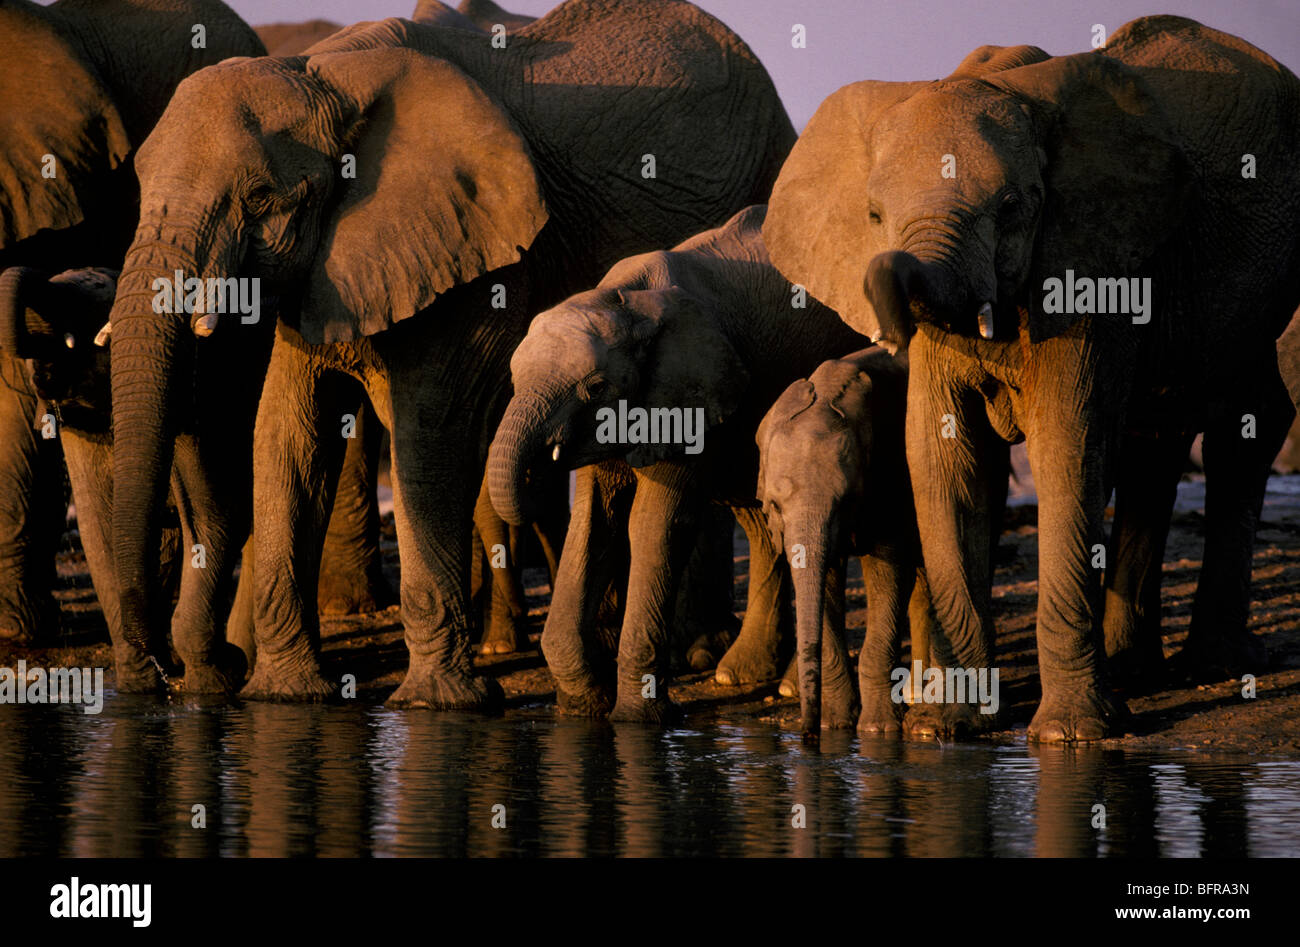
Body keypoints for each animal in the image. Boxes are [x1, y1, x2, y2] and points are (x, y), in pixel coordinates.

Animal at [104, 0, 796, 709]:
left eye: (262, 197)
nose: (164, 675)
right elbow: (289, 432)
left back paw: (704, 655)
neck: (329, 73)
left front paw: (438, 703)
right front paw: (285, 695)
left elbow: (430, 429)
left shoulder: (476, 251)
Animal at [487, 205, 867, 722]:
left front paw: (635, 719)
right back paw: (739, 676)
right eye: (513, 375)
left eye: (595, 386)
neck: (628, 302)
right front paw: (585, 707)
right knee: (762, 522)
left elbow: (654, 524)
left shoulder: (690, 394)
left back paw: (785, 685)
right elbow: (593, 522)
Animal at [755, 347, 934, 740]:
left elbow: (887, 571)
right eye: (774, 507)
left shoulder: (891, 472)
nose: (806, 737)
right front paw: (834, 725)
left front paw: (878, 730)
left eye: (847, 501)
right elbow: (825, 576)